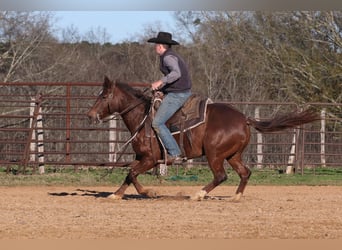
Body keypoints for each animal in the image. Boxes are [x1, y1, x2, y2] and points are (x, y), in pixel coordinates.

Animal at [87, 77, 320, 202]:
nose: (90, 115)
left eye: (104, 96)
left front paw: (148, 192)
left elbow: (132, 173)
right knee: (245, 173)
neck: (143, 117)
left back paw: (198, 194)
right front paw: (117, 194)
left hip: (214, 154)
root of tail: (244, 119)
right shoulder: (141, 157)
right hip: (233, 155)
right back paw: (235, 197)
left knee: (221, 176)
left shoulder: (150, 159)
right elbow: (129, 174)